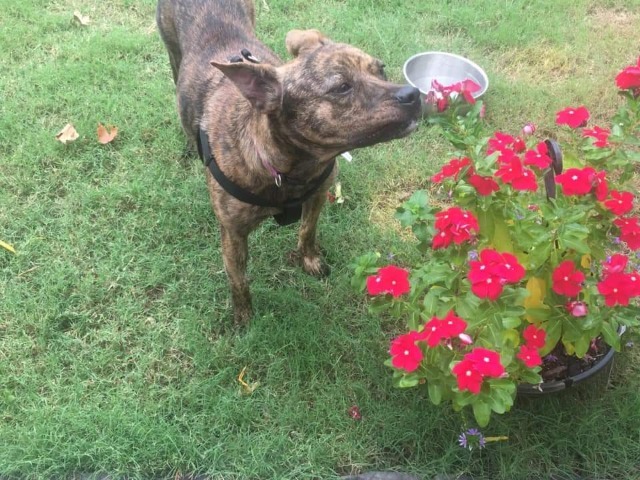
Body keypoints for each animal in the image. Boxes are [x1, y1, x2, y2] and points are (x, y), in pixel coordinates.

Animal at [158, 0, 422, 324]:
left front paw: (309, 260)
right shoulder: (233, 235)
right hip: (172, 54)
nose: (413, 93)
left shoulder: (318, 195)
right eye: (342, 88)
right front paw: (244, 316)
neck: (288, 167)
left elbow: (307, 231)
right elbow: (238, 280)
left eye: (380, 69)